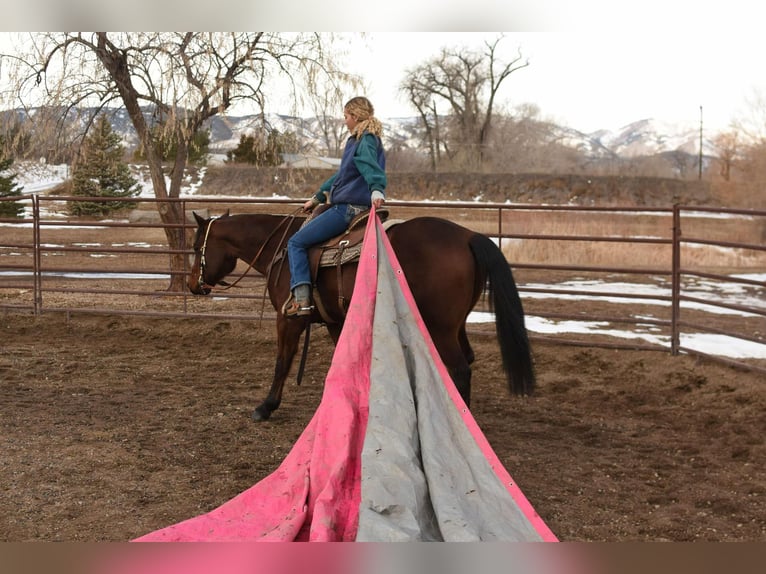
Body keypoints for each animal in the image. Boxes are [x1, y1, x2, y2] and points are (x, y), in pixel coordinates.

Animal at [188, 209, 536, 420]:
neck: (282, 248)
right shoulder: (334, 320)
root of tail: (467, 235)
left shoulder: (289, 319)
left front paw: (266, 406)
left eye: (195, 247)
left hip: (440, 328)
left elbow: (282, 361)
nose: (193, 285)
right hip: (455, 325)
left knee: (460, 369)